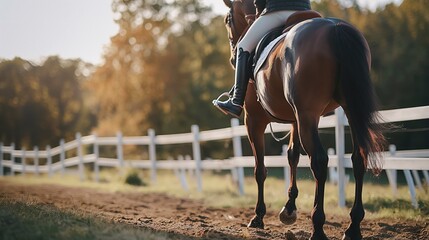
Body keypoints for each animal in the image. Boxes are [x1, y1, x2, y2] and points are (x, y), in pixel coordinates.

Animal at [221, 0, 384, 240]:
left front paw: (258, 217)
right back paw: (353, 227)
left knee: (319, 161)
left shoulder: (254, 121)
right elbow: (292, 156)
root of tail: (335, 28)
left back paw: (318, 227)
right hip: (347, 111)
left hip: (308, 115)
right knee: (358, 159)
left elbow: (260, 170)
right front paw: (289, 209)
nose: (233, 58)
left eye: (227, 20)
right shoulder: (295, 119)